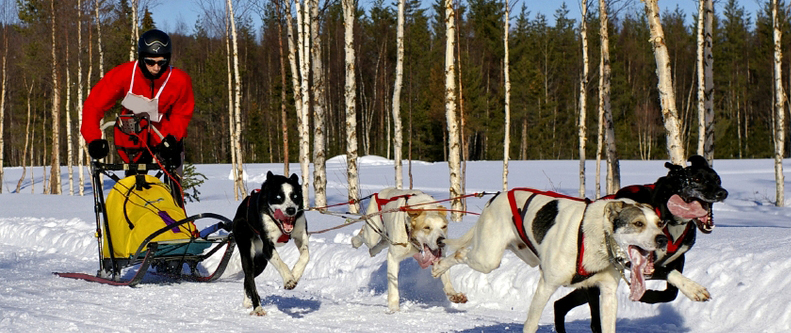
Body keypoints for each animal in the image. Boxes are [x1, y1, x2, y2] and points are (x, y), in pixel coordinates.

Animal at [232, 171, 310, 314]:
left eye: (295, 196)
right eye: (279, 197)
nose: (291, 210)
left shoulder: (301, 236)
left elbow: (305, 256)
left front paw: (295, 274)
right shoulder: (268, 247)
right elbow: (280, 262)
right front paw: (289, 279)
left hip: (261, 263)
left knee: (247, 280)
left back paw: (247, 301)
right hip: (247, 252)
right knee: (249, 276)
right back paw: (257, 307)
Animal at [434, 188, 668, 330]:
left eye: (660, 223)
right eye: (638, 224)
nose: (663, 239)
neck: (593, 237)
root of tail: (496, 196)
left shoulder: (608, 293)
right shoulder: (546, 285)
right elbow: (531, 324)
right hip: (487, 258)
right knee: (459, 253)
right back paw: (439, 268)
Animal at [552, 156, 728, 332]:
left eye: (717, 179)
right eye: (696, 179)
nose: (722, 192)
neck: (670, 219)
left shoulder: (678, 258)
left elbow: (671, 293)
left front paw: (649, 295)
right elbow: (666, 272)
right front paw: (691, 289)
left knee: (559, 305)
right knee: (593, 320)